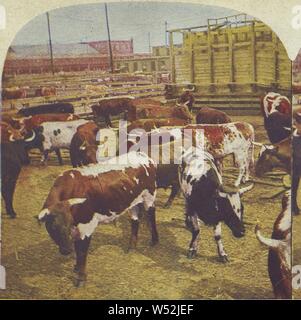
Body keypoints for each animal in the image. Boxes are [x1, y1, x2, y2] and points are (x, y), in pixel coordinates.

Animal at [38, 151, 157, 286]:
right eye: (52, 227)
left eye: (68, 224)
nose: (66, 250)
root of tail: (140, 154)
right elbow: (77, 248)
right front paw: (76, 268)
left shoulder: (87, 226)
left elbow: (82, 251)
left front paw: (81, 278)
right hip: (133, 202)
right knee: (135, 220)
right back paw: (131, 247)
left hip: (149, 196)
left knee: (151, 214)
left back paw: (154, 240)